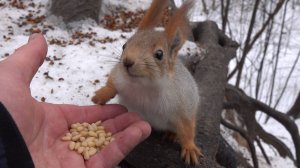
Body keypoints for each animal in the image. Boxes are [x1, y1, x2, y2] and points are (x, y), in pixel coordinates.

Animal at [92, 0, 203, 165]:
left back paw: (171, 134)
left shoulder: (183, 103)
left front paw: (189, 147)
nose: (127, 62)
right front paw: (102, 94)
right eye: (124, 45)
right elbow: (112, 83)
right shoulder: (119, 75)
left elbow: (187, 127)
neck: (144, 86)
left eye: (159, 54)